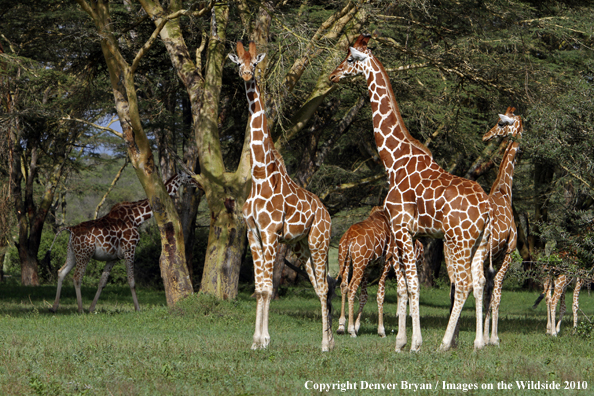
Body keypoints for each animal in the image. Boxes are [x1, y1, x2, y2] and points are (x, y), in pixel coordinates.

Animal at [48, 172, 195, 312]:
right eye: (188, 176)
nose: (195, 182)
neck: (137, 217)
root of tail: (71, 229)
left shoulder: (113, 257)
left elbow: (102, 282)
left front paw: (92, 308)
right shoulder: (130, 249)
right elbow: (132, 281)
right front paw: (138, 308)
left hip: (72, 253)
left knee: (61, 272)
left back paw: (55, 307)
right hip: (85, 254)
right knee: (77, 277)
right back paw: (80, 309)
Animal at [229, 41, 332, 352]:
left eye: (255, 63)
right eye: (238, 63)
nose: (247, 75)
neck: (260, 175)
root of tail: (326, 212)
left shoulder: (271, 232)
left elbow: (267, 289)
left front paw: (264, 340)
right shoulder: (252, 232)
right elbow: (260, 287)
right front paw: (256, 341)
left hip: (319, 242)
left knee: (325, 288)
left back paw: (326, 344)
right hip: (301, 247)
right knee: (319, 287)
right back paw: (330, 341)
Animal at [336, 206, 424, 338]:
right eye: (422, 252)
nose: (421, 264)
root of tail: (348, 238)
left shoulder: (369, 267)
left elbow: (364, 296)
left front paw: (357, 326)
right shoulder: (387, 261)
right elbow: (381, 295)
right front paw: (381, 330)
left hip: (345, 261)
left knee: (344, 286)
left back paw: (341, 326)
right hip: (359, 264)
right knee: (351, 288)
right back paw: (350, 330)